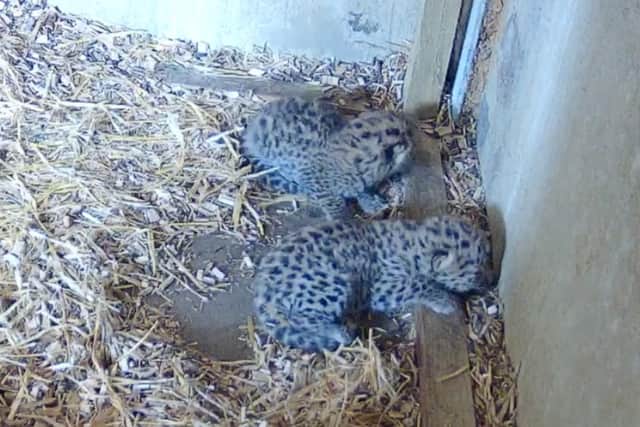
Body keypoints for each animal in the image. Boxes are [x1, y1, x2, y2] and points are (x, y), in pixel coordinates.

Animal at [240, 97, 415, 219]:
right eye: (404, 134)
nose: (411, 135)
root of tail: (251, 128)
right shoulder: (316, 183)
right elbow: (335, 205)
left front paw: (370, 201)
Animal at [252, 214, 494, 352]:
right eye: (476, 272)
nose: (491, 281)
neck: (414, 241)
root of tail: (262, 294)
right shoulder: (382, 288)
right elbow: (417, 283)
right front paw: (445, 300)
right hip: (329, 285)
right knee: (300, 319)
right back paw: (340, 331)